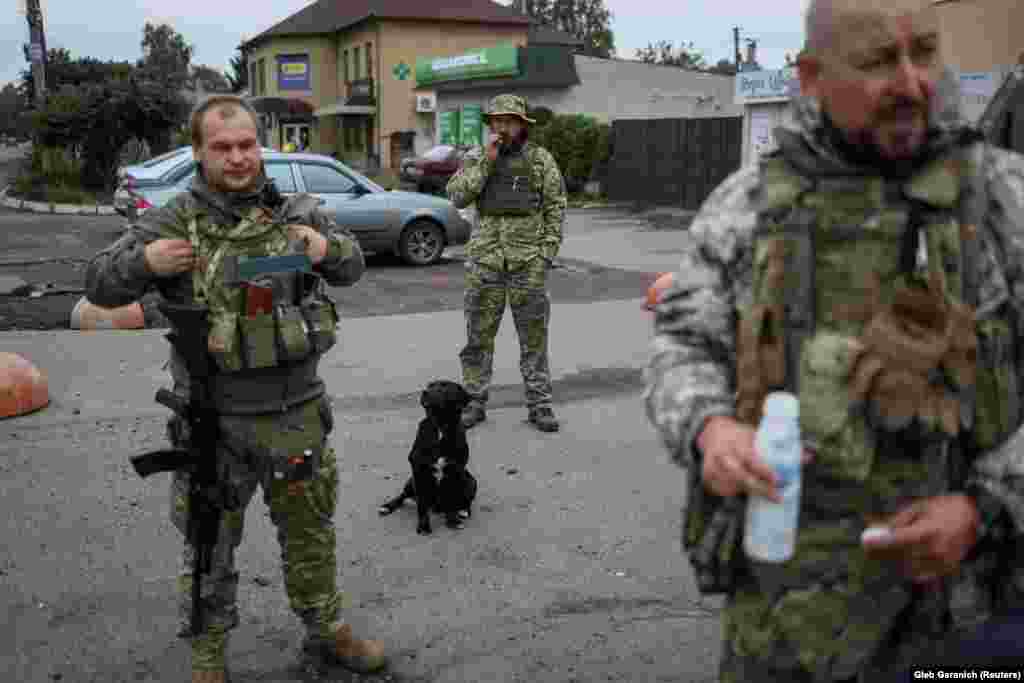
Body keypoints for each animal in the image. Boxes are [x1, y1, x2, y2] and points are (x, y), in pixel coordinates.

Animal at [378, 378, 477, 532]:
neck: (441, 426)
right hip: (411, 481)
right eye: (429, 385)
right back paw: (387, 506)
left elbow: (452, 500)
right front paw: (424, 526)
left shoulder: (456, 470)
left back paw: (464, 511)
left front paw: (452, 520)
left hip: (471, 481)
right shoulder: (419, 471)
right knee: (403, 496)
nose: (425, 392)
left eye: (444, 386)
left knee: (464, 501)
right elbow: (422, 505)